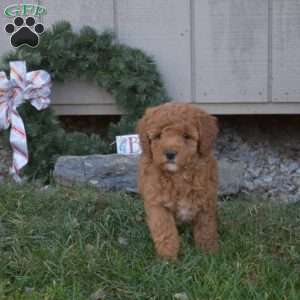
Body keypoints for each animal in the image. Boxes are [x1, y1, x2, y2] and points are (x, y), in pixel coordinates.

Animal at [137, 102, 219, 258]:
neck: (178, 175)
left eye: (186, 136)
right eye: (158, 136)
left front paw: (208, 253)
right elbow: (165, 232)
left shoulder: (205, 201)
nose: (170, 154)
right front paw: (168, 257)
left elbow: (206, 229)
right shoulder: (158, 205)